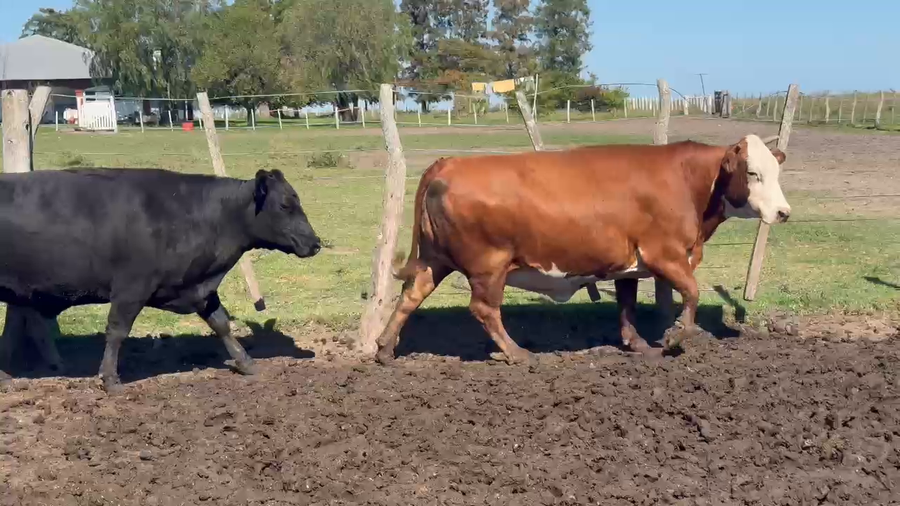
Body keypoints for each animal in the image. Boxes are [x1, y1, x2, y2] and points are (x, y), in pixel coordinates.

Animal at [0, 168, 321, 392]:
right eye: (284, 205)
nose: (316, 243)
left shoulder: (198, 288)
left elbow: (221, 323)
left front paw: (246, 363)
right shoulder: (131, 288)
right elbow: (117, 331)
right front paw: (110, 379)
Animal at [374, 134, 790, 364]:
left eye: (777, 172)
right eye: (753, 173)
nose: (783, 212)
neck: (689, 182)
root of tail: (449, 163)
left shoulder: (628, 262)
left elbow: (627, 304)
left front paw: (637, 343)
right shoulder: (665, 254)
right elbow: (690, 292)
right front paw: (674, 337)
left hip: (435, 259)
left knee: (411, 295)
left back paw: (384, 347)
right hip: (488, 266)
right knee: (483, 309)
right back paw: (517, 353)